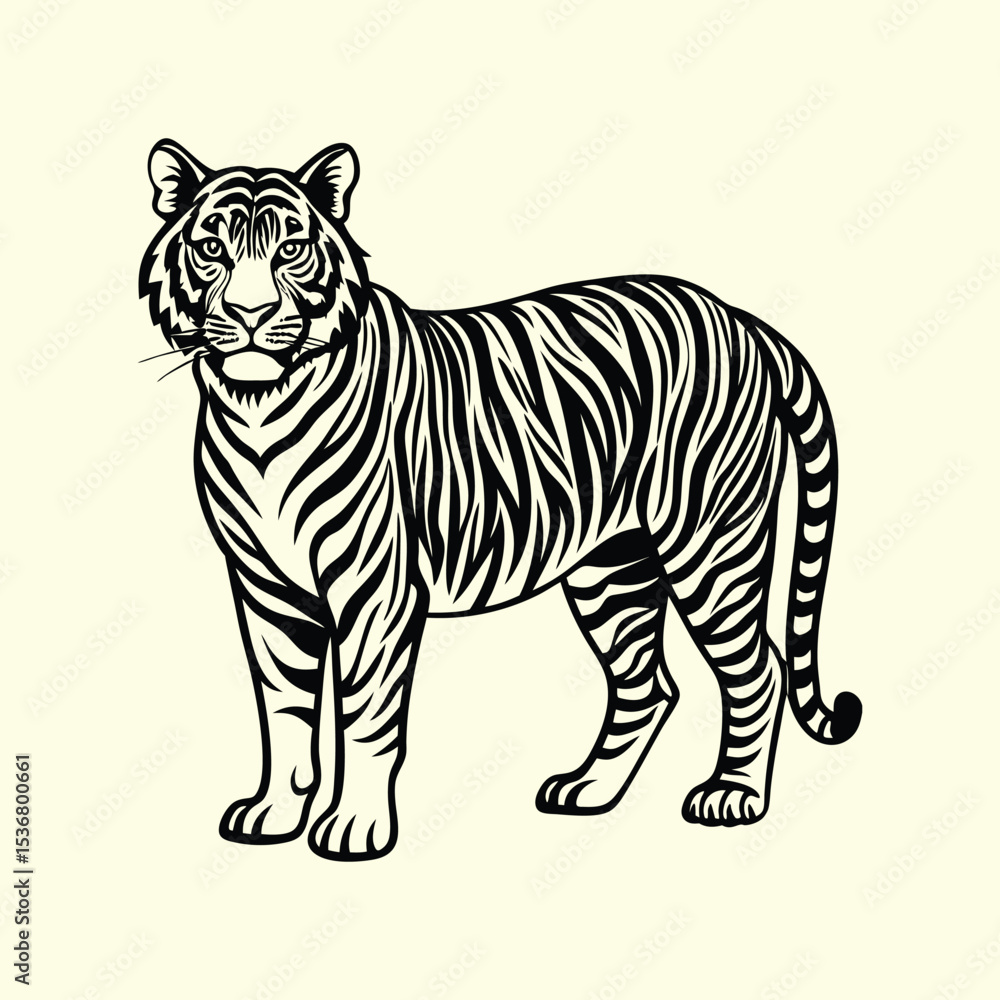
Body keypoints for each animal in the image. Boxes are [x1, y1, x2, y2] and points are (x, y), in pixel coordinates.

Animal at [139, 138, 861, 861]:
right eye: (211, 248)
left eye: (290, 249)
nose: (250, 314)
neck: (258, 408)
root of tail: (743, 319)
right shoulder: (266, 588)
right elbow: (284, 708)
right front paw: (274, 812)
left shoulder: (376, 588)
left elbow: (365, 711)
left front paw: (355, 827)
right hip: (612, 568)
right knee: (647, 684)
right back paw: (588, 789)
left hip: (711, 545)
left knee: (758, 672)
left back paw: (732, 795)